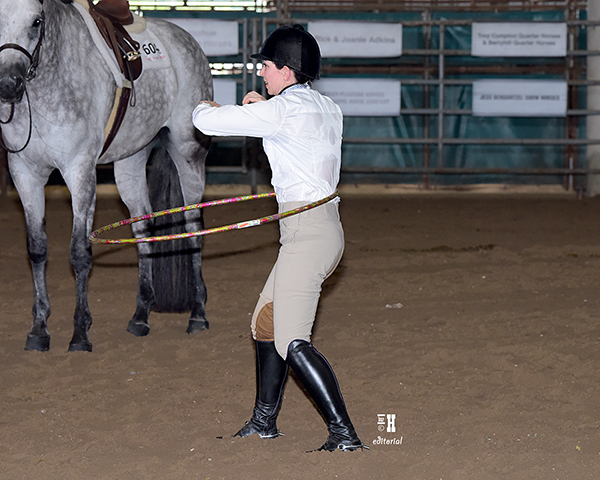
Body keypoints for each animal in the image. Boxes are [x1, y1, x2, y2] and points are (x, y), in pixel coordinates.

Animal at [0, 0, 214, 352]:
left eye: (37, 21)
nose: (8, 84)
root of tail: (187, 40)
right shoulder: (25, 174)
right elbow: (37, 249)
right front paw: (39, 329)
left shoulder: (80, 171)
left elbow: (79, 252)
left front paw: (80, 333)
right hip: (130, 161)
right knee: (143, 228)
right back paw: (140, 316)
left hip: (188, 153)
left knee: (193, 226)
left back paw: (198, 314)